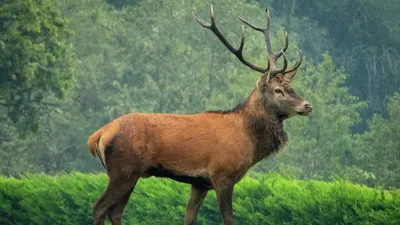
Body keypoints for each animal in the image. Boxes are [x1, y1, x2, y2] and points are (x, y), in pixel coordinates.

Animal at [87, 5, 312, 225]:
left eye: (291, 87)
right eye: (278, 90)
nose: (307, 105)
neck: (248, 138)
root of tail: (99, 134)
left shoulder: (200, 183)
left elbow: (189, 217)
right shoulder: (222, 174)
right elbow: (228, 217)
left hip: (130, 173)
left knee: (115, 211)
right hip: (123, 170)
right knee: (99, 207)